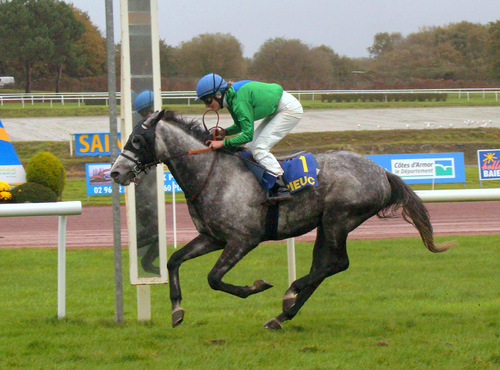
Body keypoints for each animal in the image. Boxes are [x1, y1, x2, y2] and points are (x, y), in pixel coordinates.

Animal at [109, 110, 450, 330]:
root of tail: (382, 172)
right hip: (325, 225)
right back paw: (283, 314)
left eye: (137, 139)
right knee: (323, 267)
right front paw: (177, 310)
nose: (115, 172)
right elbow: (174, 260)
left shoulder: (242, 240)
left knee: (337, 264)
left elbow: (214, 279)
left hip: (339, 218)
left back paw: (289, 294)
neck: (212, 175)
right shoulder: (213, 238)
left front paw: (256, 286)